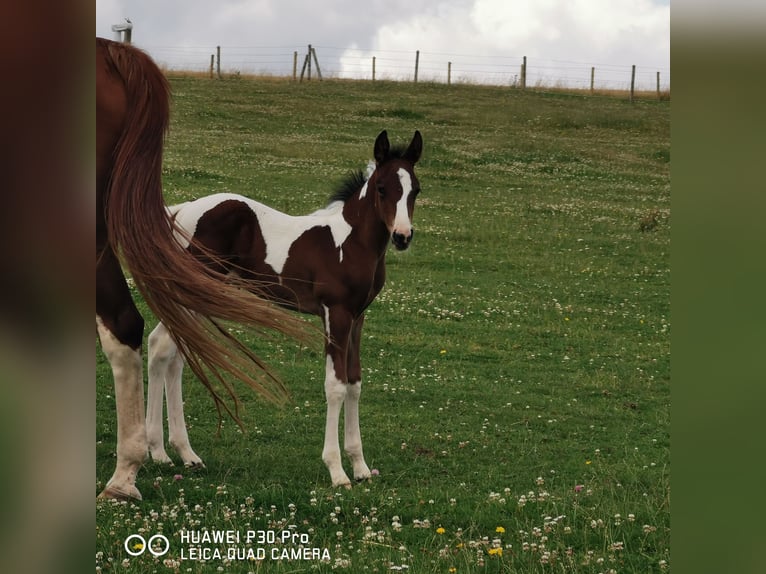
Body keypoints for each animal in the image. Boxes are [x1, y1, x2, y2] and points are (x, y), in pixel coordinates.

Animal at [148, 130, 426, 486]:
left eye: (415, 190)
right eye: (381, 188)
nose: (403, 236)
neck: (350, 243)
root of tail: (180, 212)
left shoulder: (357, 317)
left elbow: (354, 383)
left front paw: (361, 467)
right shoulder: (335, 313)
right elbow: (335, 386)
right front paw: (337, 470)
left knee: (172, 353)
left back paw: (179, 453)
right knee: (163, 348)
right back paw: (162, 452)